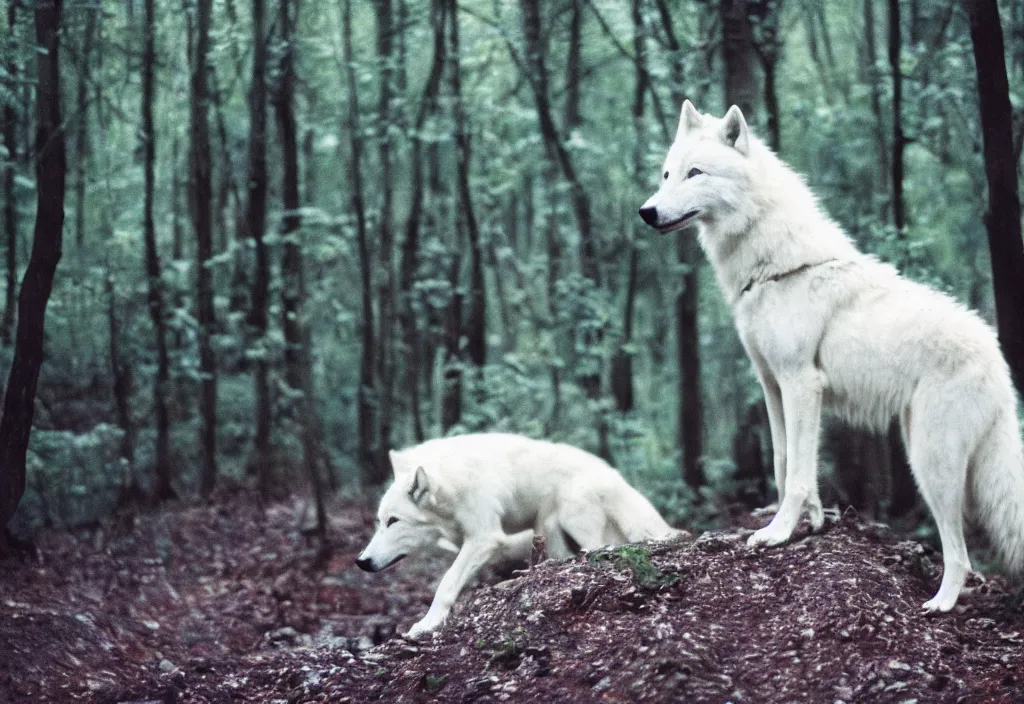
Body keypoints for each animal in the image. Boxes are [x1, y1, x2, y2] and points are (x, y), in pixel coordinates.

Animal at [356, 433, 684, 638]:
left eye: (394, 521)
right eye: (379, 521)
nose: (361, 562)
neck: (453, 483)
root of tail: (616, 476)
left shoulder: (485, 537)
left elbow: (446, 583)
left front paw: (427, 624)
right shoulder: (469, 541)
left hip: (573, 518)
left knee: (601, 550)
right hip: (550, 530)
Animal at [634, 101, 1024, 613]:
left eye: (694, 173)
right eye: (666, 175)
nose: (646, 212)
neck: (777, 269)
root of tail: (997, 357)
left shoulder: (801, 384)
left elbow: (798, 474)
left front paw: (777, 534)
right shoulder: (773, 387)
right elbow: (786, 465)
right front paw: (812, 522)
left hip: (930, 465)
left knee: (960, 552)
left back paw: (941, 603)